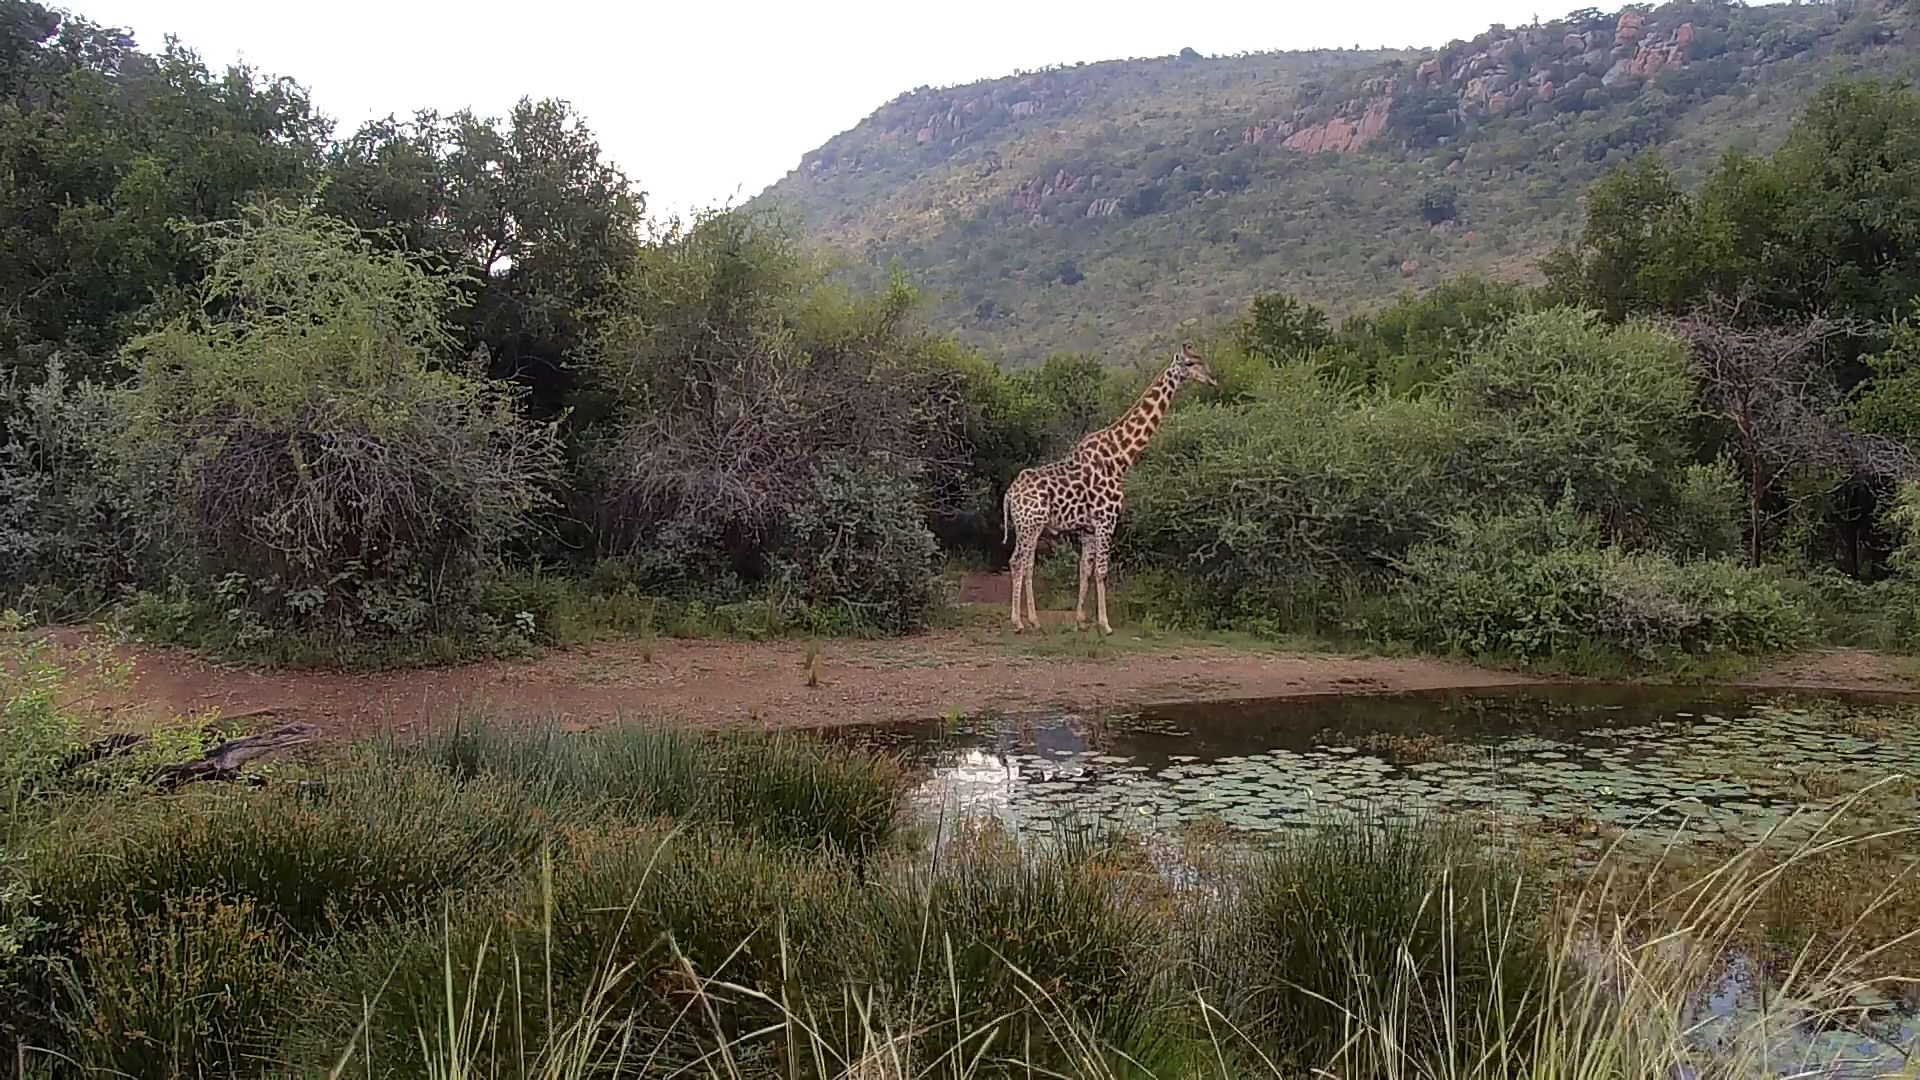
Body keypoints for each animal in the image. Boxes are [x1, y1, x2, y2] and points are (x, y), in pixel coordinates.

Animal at [1001, 341, 1216, 634]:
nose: (1212, 379)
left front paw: (1080, 621)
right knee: (1021, 562)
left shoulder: (1088, 528)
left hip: (1025, 526)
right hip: (1031, 525)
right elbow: (1102, 571)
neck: (1119, 458)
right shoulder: (1107, 520)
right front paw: (1105, 623)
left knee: (1022, 562)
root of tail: (1010, 494)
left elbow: (1085, 569)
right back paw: (1023, 621)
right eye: (1191, 363)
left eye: (1201, 359)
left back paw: (1027, 619)